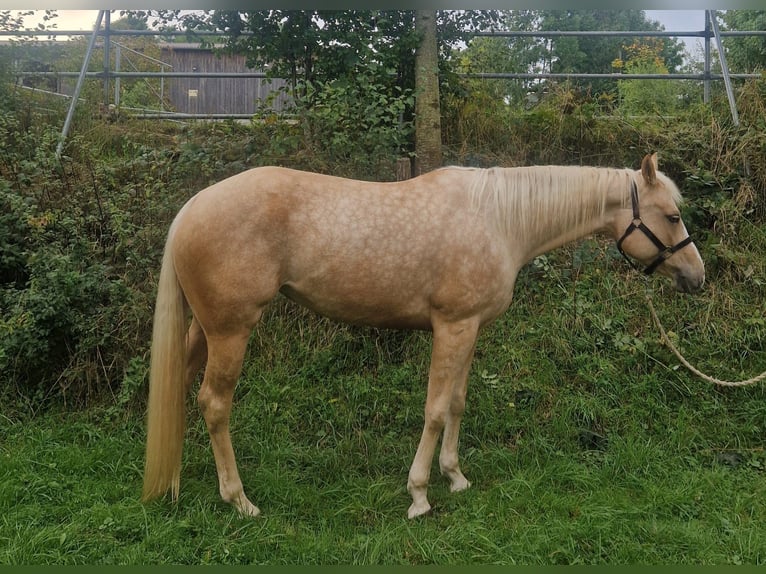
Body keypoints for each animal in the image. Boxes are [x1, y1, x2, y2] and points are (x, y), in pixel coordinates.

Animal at [141, 153, 704, 519]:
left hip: (203, 329)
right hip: (231, 330)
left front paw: (454, 477)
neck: (499, 219)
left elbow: (456, 402)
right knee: (214, 403)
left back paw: (172, 482)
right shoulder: (451, 327)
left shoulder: (470, 328)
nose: (697, 277)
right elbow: (434, 409)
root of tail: (191, 207)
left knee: (178, 388)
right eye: (673, 215)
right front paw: (418, 495)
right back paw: (239, 500)